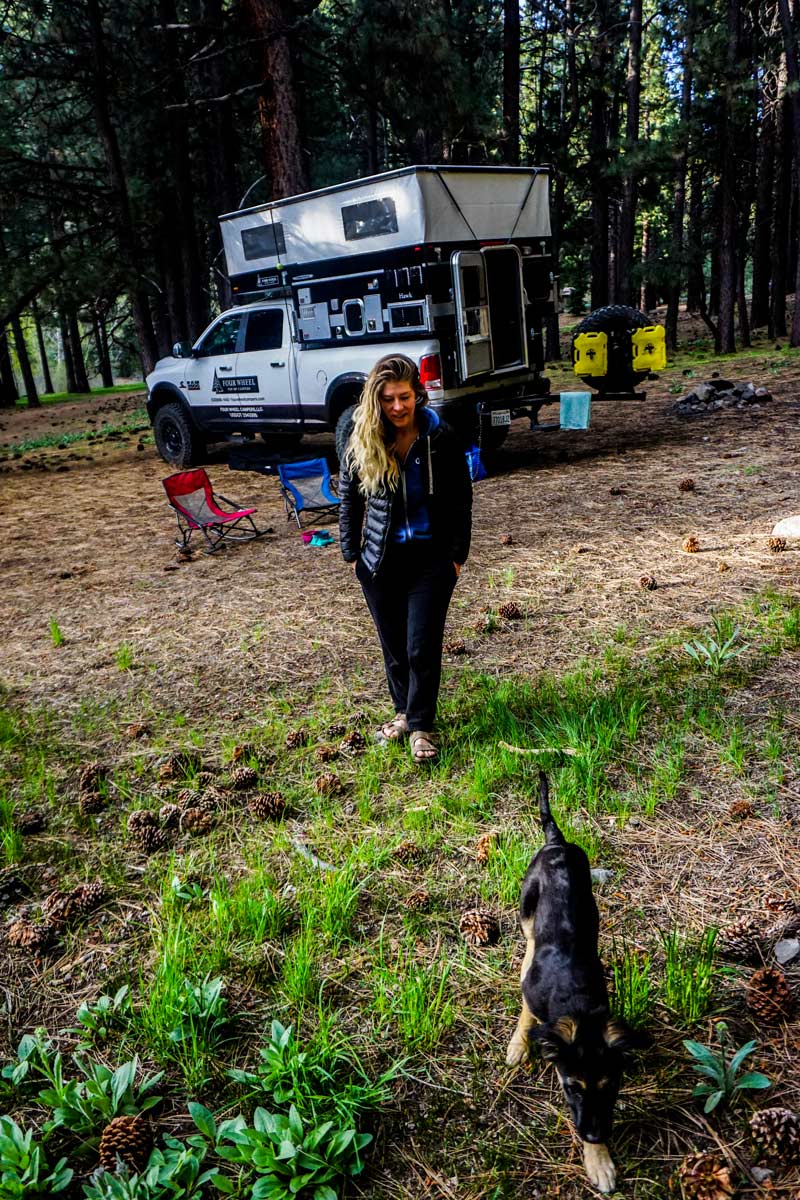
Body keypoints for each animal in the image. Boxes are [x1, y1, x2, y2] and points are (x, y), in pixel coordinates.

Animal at [510, 772, 647, 1195]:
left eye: (611, 1086)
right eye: (572, 1087)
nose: (593, 1136)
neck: (575, 1000)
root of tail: (556, 841)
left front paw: (598, 1159)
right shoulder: (532, 993)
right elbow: (527, 1013)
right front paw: (519, 1045)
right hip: (526, 905)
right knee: (528, 939)